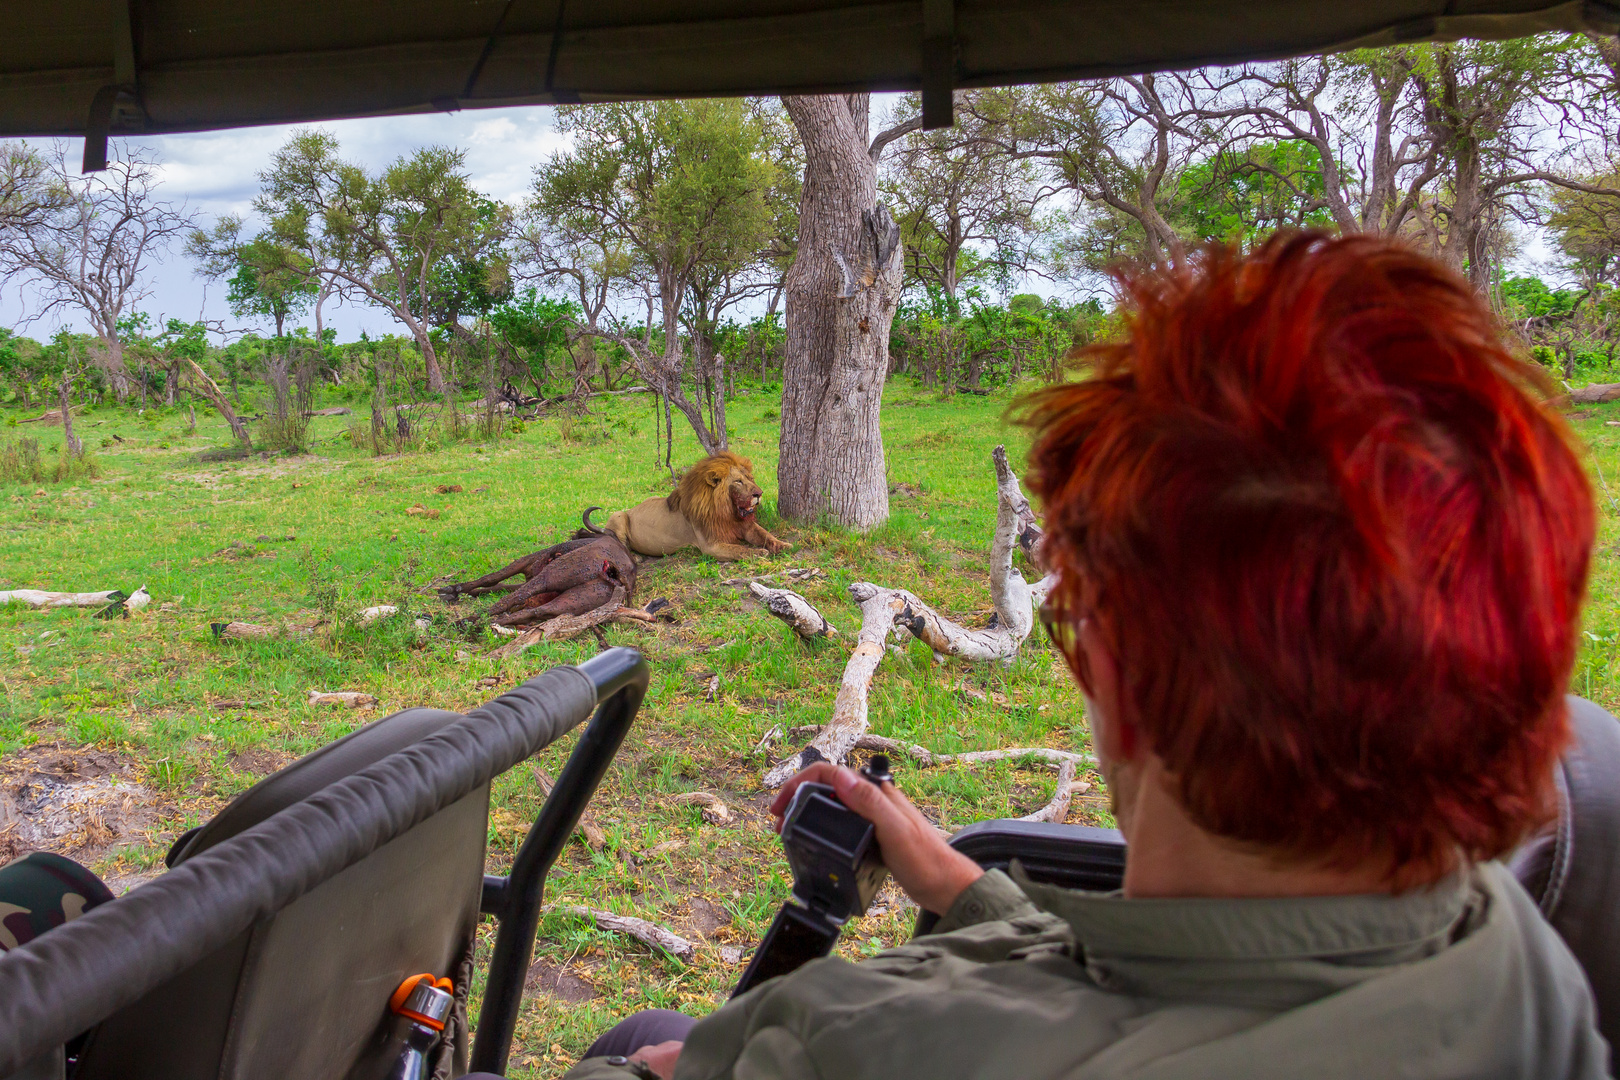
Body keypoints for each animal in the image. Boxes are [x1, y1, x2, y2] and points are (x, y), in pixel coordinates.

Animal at [589, 453, 790, 563]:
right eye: (738, 481)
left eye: (749, 478)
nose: (759, 493)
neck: (727, 512)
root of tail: (632, 509)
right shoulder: (711, 546)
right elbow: (739, 550)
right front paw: (760, 553)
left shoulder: (746, 526)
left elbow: (766, 535)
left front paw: (784, 545)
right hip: (618, 515)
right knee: (618, 541)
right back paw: (636, 557)